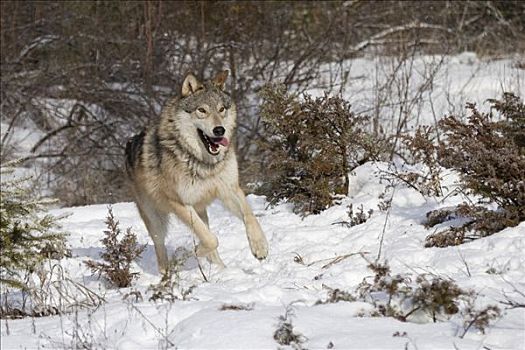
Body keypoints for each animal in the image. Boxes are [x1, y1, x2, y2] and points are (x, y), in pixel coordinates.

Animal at [125, 69, 268, 270]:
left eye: (221, 109)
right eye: (202, 110)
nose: (219, 130)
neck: (203, 162)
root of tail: (129, 143)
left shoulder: (229, 189)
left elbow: (250, 216)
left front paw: (260, 247)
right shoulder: (179, 202)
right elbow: (211, 239)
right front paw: (190, 253)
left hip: (201, 210)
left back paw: (221, 270)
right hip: (156, 220)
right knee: (161, 250)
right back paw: (167, 273)